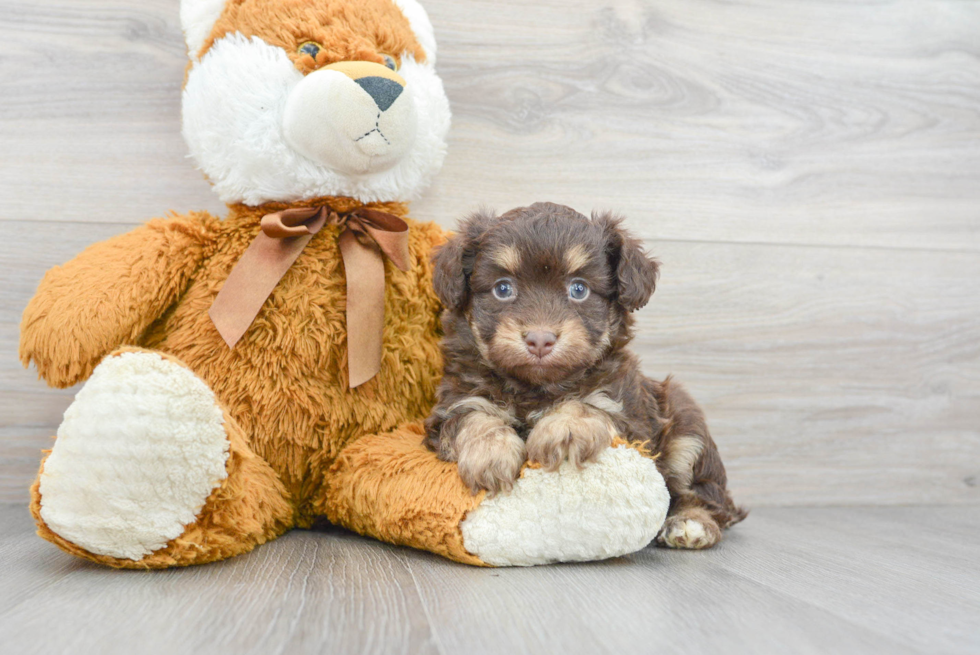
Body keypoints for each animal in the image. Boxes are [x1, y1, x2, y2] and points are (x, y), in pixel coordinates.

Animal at [424, 204, 748, 548]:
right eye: (502, 288)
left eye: (579, 289)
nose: (540, 339)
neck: (536, 386)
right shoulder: (455, 401)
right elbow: (472, 417)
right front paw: (490, 454)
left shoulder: (628, 413)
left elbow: (587, 404)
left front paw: (565, 430)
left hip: (687, 427)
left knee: (706, 495)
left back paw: (691, 523)